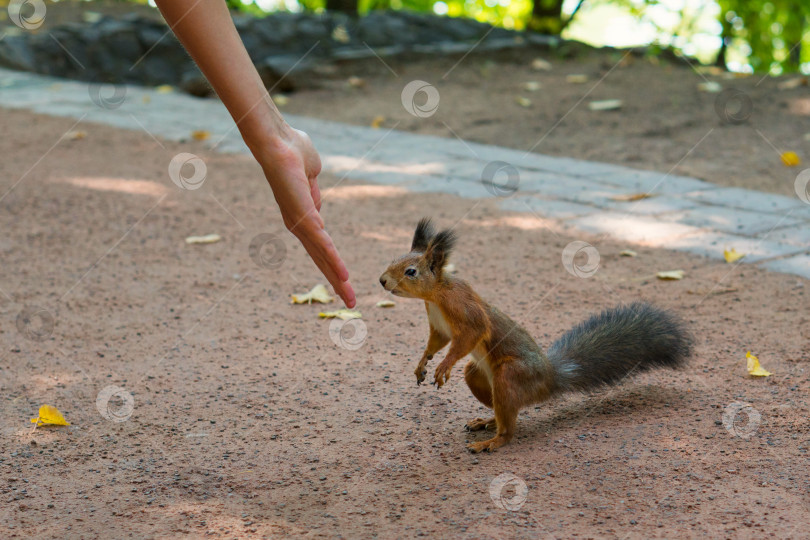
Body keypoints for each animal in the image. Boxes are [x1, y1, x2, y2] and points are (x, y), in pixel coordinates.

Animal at [378, 217, 688, 454]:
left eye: (410, 271)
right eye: (394, 261)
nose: (382, 280)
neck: (436, 295)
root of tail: (550, 379)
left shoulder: (464, 309)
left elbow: (469, 335)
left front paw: (443, 366)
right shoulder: (439, 325)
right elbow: (437, 342)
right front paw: (423, 362)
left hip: (510, 374)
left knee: (509, 427)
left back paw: (491, 442)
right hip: (478, 374)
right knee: (505, 410)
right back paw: (488, 422)